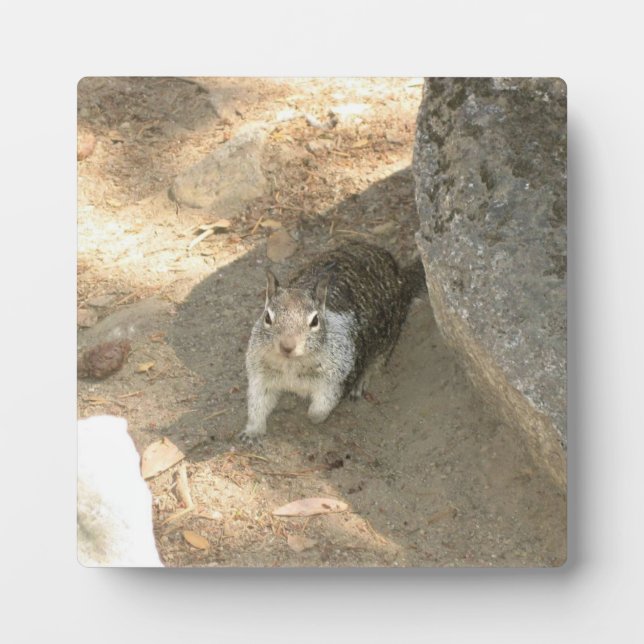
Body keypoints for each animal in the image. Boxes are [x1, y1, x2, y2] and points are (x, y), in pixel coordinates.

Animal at [241, 240, 426, 441]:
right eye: (267, 317)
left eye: (315, 321)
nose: (287, 346)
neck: (292, 364)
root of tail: (400, 277)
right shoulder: (260, 375)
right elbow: (257, 404)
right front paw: (252, 432)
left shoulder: (337, 380)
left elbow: (319, 410)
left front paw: (311, 417)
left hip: (388, 338)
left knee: (377, 363)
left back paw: (361, 382)